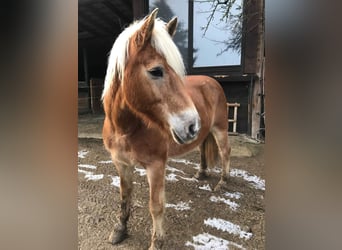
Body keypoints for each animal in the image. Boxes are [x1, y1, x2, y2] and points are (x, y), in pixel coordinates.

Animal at [101, 8, 230, 249]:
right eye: (156, 71)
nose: (192, 125)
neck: (126, 129)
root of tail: (213, 81)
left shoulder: (156, 166)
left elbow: (156, 206)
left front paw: (156, 242)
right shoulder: (121, 164)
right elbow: (124, 197)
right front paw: (120, 229)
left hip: (220, 129)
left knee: (226, 152)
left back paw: (223, 182)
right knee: (202, 148)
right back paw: (201, 173)